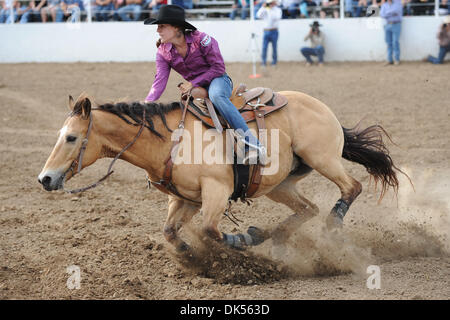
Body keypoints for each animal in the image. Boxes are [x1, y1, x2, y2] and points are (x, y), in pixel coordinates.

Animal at [38, 90, 402, 252]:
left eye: (71, 137)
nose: (45, 178)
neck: (169, 140)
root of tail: (322, 107)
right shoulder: (185, 198)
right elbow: (170, 232)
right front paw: (188, 254)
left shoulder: (216, 191)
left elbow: (211, 229)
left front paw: (244, 238)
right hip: (281, 185)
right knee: (307, 208)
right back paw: (276, 237)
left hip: (322, 157)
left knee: (351, 187)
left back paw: (330, 226)